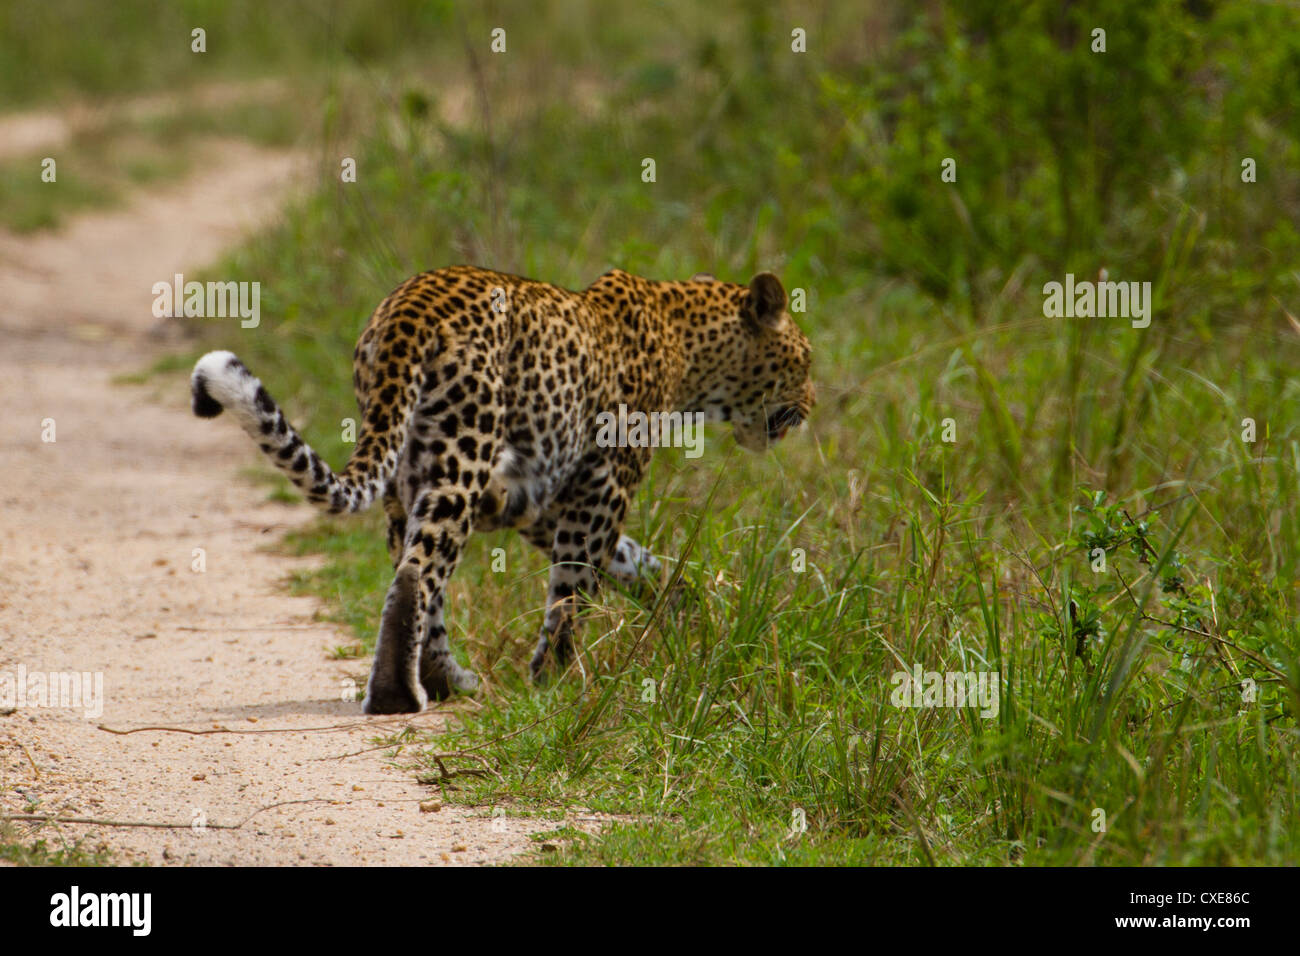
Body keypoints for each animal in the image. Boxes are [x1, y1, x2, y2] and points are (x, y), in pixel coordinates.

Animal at [191, 265, 811, 712]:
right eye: (803, 363)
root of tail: (408, 310)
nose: (809, 406)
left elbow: (627, 559)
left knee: (421, 579)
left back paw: (447, 682)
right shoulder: (604, 486)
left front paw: (687, 607)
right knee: (418, 575)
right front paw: (556, 681)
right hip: (463, 453)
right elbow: (573, 588)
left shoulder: (542, 501)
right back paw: (402, 695)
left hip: (407, 473)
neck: (687, 341)